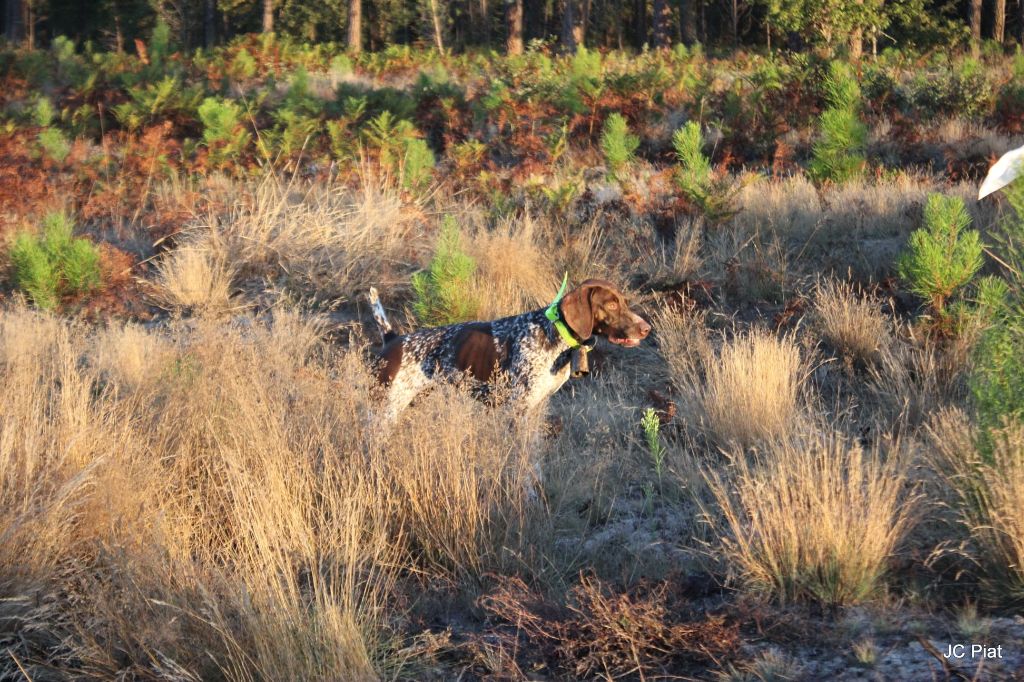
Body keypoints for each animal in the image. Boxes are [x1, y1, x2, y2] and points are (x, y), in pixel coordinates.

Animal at [372, 278, 651, 419]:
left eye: (624, 302)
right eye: (611, 305)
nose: (646, 328)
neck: (553, 334)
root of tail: (393, 338)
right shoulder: (517, 409)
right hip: (384, 410)